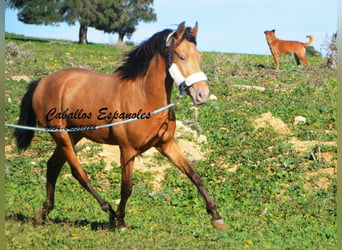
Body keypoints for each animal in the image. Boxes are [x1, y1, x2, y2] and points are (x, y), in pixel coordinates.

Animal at [14, 22, 227, 231]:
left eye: (199, 55)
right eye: (181, 56)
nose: (202, 95)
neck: (144, 96)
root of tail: (42, 82)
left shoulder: (166, 144)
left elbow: (194, 175)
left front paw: (216, 217)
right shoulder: (127, 149)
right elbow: (126, 188)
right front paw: (122, 222)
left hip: (73, 135)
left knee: (53, 166)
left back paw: (44, 213)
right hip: (61, 135)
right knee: (79, 173)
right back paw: (109, 213)